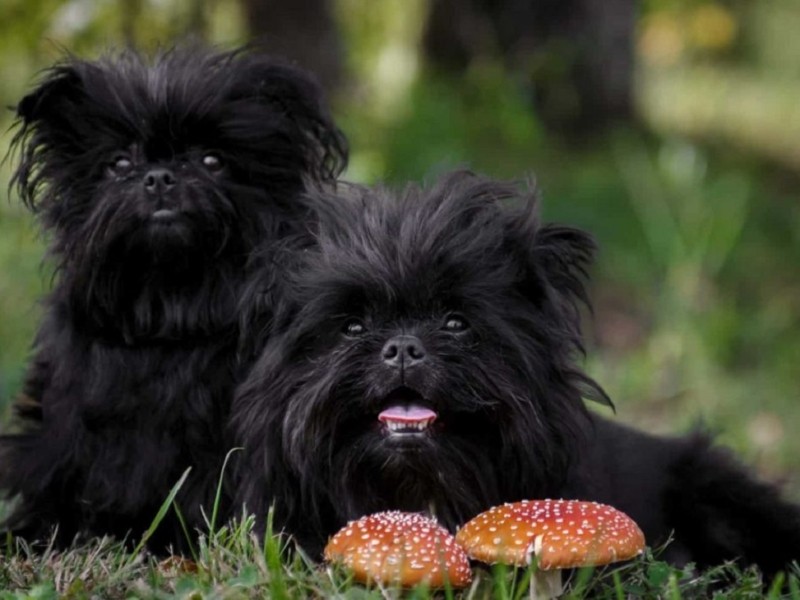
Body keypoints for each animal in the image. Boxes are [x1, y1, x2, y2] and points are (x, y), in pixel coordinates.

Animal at [0, 45, 346, 552]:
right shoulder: (65, 431)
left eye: (211, 161)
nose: (160, 176)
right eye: (120, 164)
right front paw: (39, 532)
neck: (171, 308)